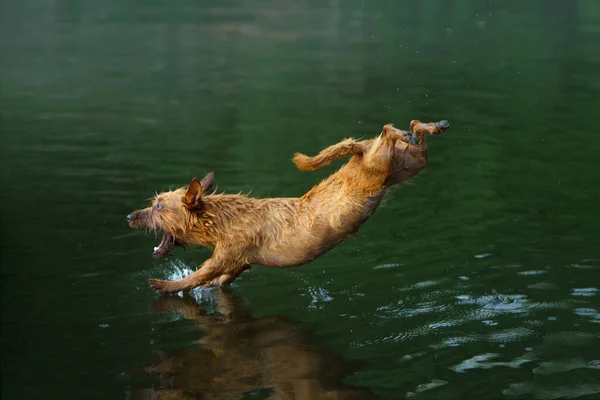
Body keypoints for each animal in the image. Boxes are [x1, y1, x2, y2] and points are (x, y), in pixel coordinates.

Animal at [126, 119, 448, 294]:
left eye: (158, 206)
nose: (129, 216)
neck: (221, 219)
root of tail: (359, 152)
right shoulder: (236, 267)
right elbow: (214, 283)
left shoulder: (225, 256)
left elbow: (194, 277)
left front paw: (164, 285)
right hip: (412, 162)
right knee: (412, 131)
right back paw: (433, 126)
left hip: (379, 162)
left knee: (388, 129)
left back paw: (404, 131)